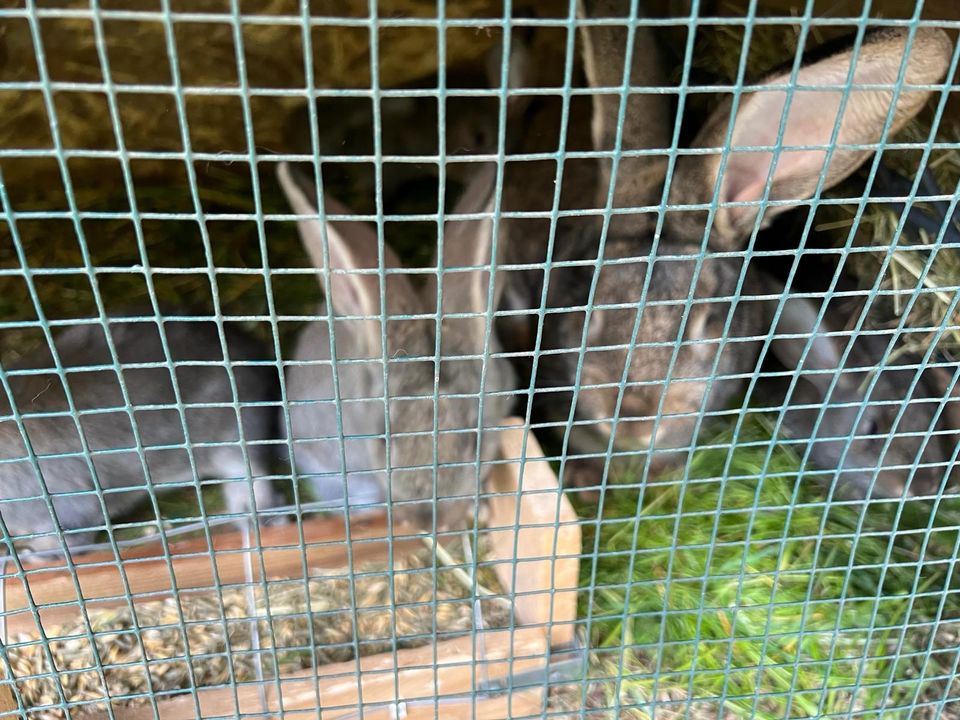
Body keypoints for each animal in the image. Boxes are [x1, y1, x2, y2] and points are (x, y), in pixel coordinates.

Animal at [0, 318, 284, 560]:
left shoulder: (69, 509)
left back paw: (262, 519)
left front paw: (31, 557)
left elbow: (66, 542)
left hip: (235, 437)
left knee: (250, 477)